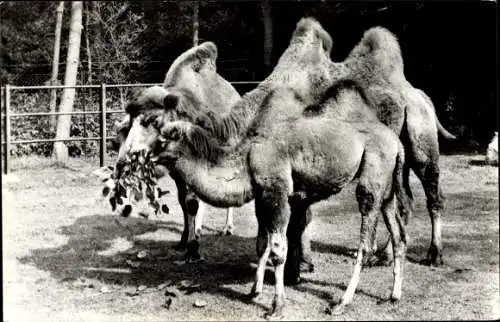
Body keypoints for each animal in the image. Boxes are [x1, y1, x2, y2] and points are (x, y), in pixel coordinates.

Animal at [151, 82, 410, 318]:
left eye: (162, 141)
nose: (147, 156)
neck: (247, 157)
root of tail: (397, 143)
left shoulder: (277, 191)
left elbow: (277, 250)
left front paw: (276, 306)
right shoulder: (262, 195)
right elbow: (261, 244)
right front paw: (254, 291)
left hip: (373, 173)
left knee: (366, 239)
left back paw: (342, 302)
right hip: (388, 185)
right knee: (399, 234)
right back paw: (393, 296)